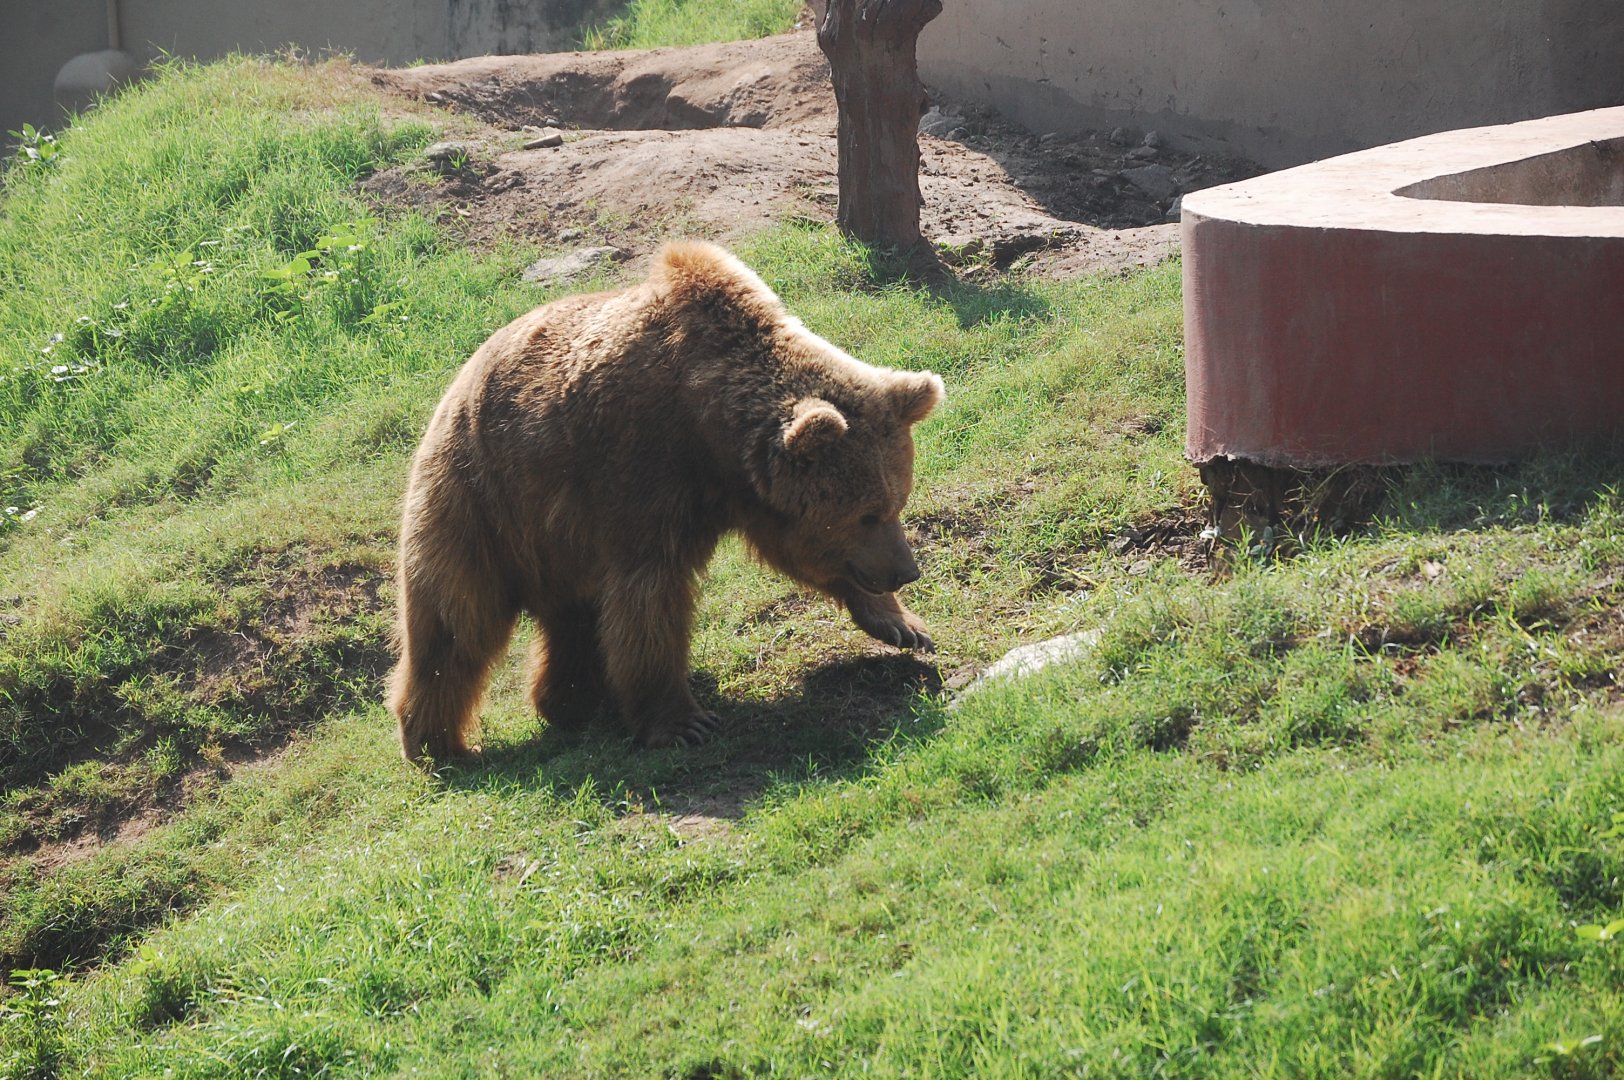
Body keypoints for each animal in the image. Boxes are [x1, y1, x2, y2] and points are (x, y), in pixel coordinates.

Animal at [387, 240, 944, 762]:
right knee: (455, 621)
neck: (708, 434)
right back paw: (436, 742)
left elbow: (801, 553)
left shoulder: (747, 494)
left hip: (552, 536)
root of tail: (453, 388)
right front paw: (682, 722)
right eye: (866, 514)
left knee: (572, 619)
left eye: (896, 501)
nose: (905, 571)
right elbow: (648, 597)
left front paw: (904, 627)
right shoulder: (638, 472)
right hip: (479, 500)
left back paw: (569, 701)